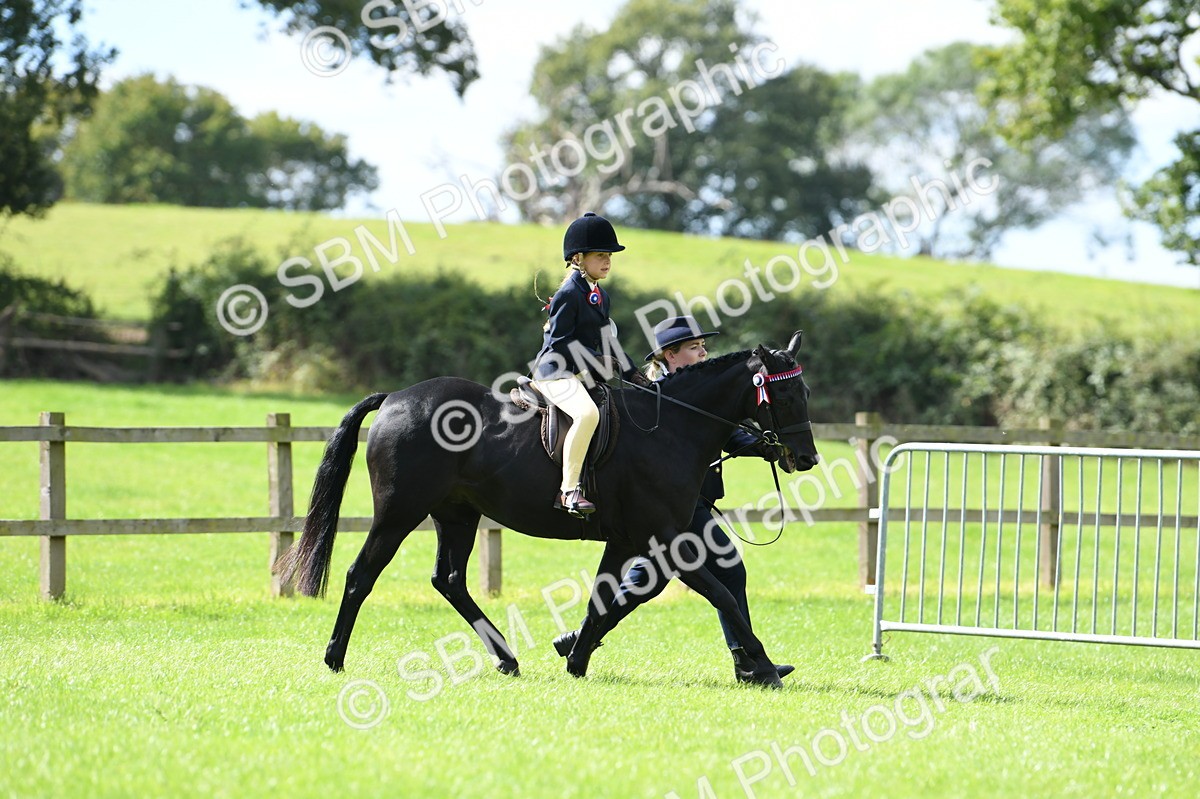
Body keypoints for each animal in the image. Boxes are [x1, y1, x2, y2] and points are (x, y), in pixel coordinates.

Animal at [274, 332, 819, 688]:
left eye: (804, 390)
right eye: (786, 393)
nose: (806, 458)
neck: (668, 426)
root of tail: (394, 399)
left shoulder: (627, 540)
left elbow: (606, 599)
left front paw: (575, 657)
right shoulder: (664, 539)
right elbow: (721, 597)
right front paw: (764, 666)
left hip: (456, 515)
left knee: (449, 580)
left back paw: (507, 659)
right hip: (399, 514)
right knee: (360, 575)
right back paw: (334, 658)